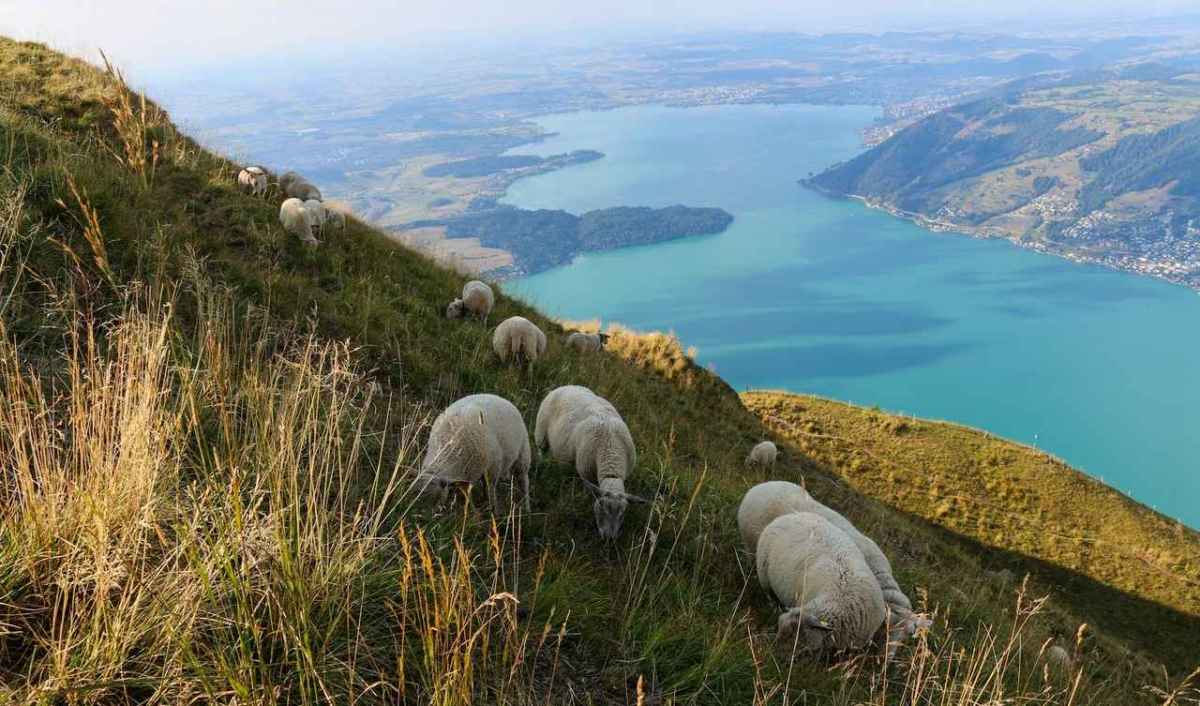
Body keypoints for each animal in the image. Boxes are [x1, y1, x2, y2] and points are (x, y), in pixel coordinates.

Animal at [535, 385, 646, 539]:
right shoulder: (586, 474)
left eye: (622, 514)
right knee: (541, 452)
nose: (609, 538)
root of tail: (567, 386)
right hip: (541, 435)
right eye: (602, 508)